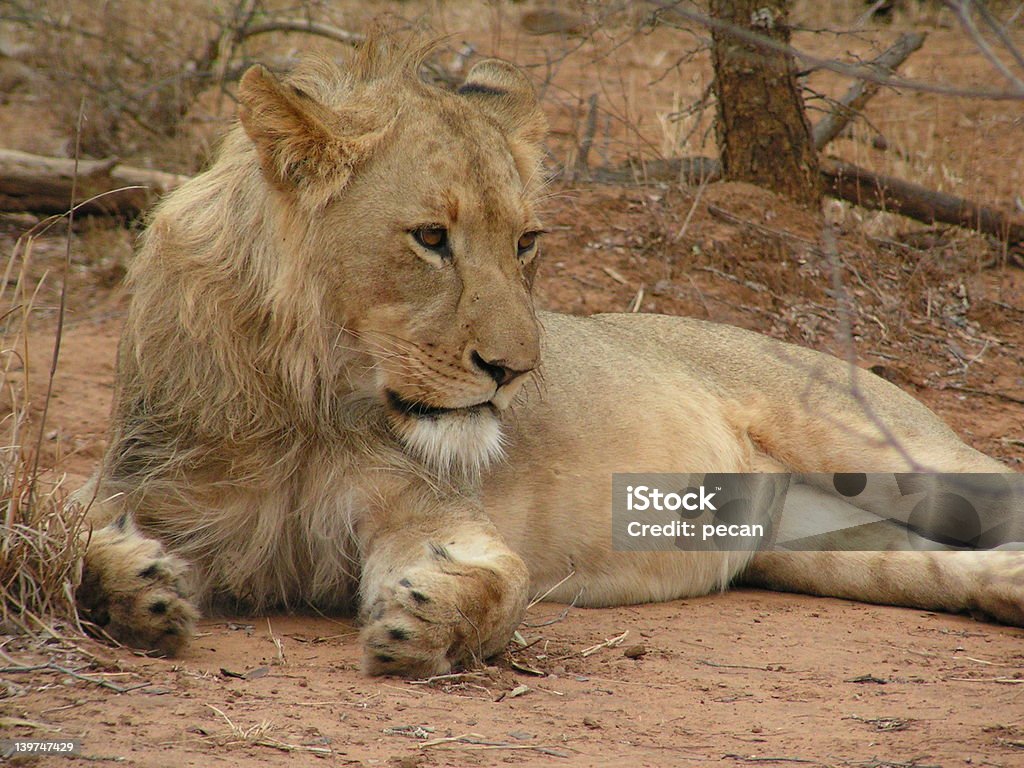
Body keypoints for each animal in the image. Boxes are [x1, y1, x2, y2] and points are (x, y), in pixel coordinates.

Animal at [75, 30, 1024, 679]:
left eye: (526, 242)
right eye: (430, 238)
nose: (515, 372)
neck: (307, 398)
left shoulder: (427, 506)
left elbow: (501, 580)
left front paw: (429, 618)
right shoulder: (143, 476)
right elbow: (69, 534)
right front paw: (142, 589)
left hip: (903, 457)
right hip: (820, 547)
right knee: (949, 566)